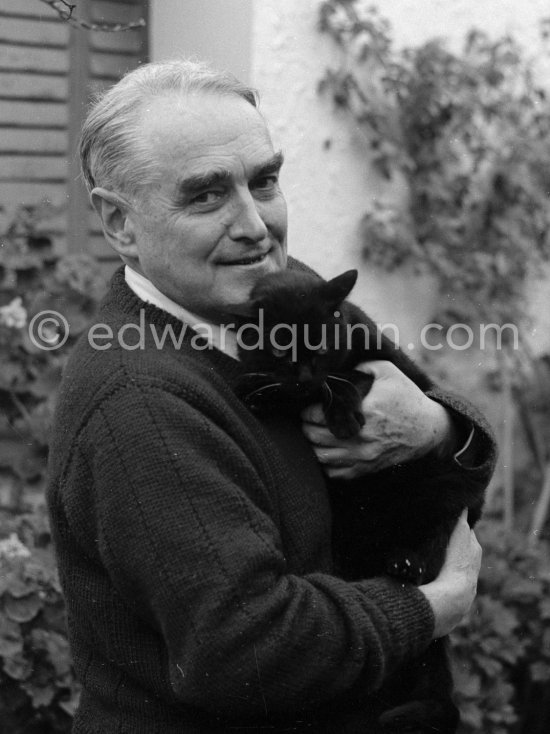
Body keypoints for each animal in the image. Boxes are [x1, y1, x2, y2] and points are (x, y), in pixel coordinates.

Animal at [235, 268, 486, 734]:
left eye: (319, 344)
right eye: (280, 347)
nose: (305, 374)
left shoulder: (384, 366)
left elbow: (347, 380)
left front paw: (343, 417)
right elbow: (285, 387)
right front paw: (258, 389)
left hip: (446, 489)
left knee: (434, 543)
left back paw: (406, 563)